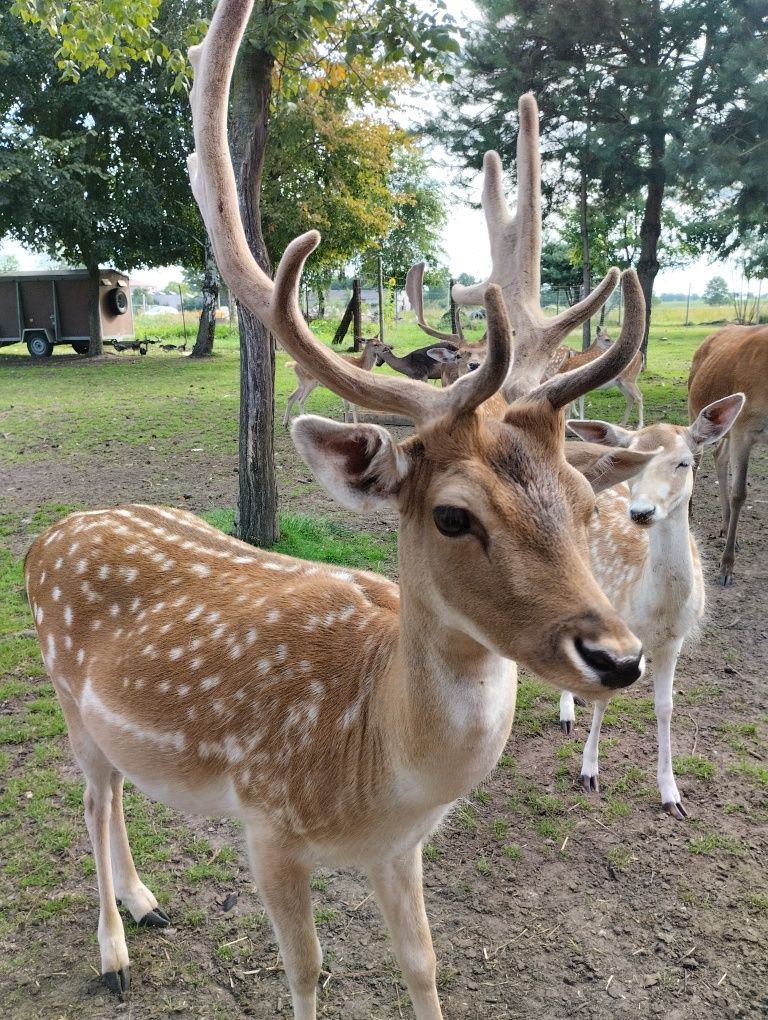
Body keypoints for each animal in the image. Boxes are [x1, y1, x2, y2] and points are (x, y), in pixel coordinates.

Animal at [558, 393, 746, 816]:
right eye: (635, 461)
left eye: (685, 462)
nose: (641, 512)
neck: (656, 611)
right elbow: (605, 699)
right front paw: (589, 772)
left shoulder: (674, 641)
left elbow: (665, 707)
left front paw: (671, 795)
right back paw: (566, 714)